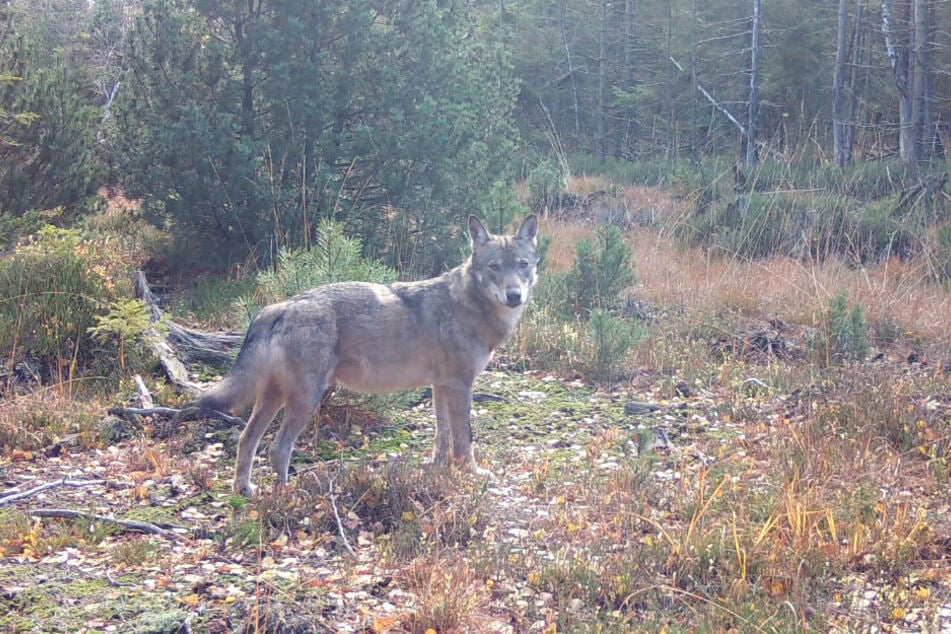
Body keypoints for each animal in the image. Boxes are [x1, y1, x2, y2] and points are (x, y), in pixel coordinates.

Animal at [199, 215, 544, 496]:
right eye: (494, 267)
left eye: (522, 265)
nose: (515, 296)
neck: (472, 305)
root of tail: (280, 306)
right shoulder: (460, 385)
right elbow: (464, 439)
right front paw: (470, 473)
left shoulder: (440, 386)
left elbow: (442, 435)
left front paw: (437, 469)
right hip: (306, 399)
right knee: (277, 448)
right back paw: (284, 496)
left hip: (274, 397)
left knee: (247, 439)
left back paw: (244, 489)